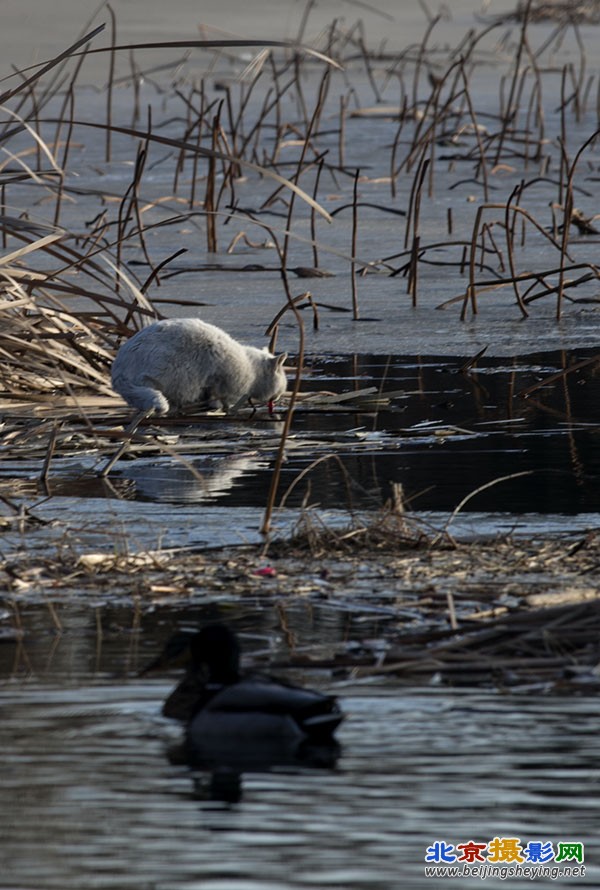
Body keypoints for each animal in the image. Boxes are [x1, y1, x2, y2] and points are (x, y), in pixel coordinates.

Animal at [113, 318, 290, 414]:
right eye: (281, 387)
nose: (278, 398)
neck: (252, 370)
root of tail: (119, 372)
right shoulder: (224, 383)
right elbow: (221, 399)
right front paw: (220, 407)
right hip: (167, 373)